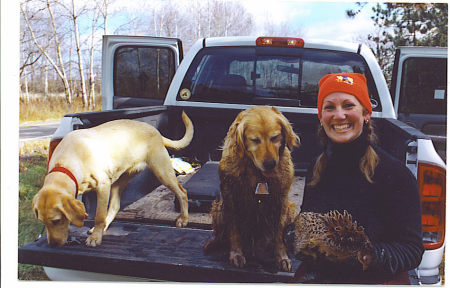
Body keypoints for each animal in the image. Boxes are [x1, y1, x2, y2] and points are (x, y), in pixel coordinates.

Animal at [31, 111, 193, 246]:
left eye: (56, 221)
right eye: (43, 222)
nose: (53, 245)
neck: (68, 161)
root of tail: (155, 131)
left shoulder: (103, 186)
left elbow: (99, 216)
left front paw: (95, 238)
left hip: (162, 171)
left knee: (182, 192)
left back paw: (183, 219)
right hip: (119, 181)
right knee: (115, 206)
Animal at [203, 106, 298, 272]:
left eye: (275, 137)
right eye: (255, 140)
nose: (270, 164)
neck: (258, 174)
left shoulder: (281, 199)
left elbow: (278, 233)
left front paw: (282, 257)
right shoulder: (230, 196)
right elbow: (234, 229)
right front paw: (236, 254)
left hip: (290, 210)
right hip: (219, 208)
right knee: (220, 234)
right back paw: (212, 243)